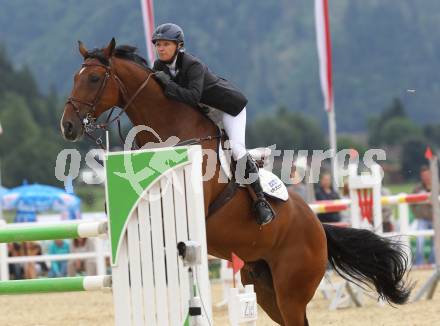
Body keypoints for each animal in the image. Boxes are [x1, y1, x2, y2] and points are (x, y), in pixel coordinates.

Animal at [60, 38, 410, 326]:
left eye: (94, 78)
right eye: (75, 77)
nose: (68, 126)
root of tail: (318, 227)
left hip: (291, 290)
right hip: (264, 288)